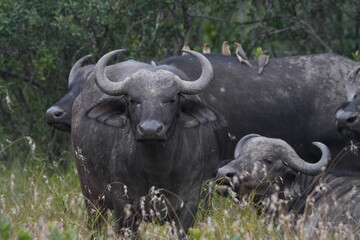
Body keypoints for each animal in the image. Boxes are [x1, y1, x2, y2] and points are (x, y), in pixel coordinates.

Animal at [71, 49, 226, 238]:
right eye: (132, 100)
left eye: (172, 99)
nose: (150, 130)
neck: (158, 171)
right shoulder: (124, 204)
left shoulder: (190, 203)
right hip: (91, 196)